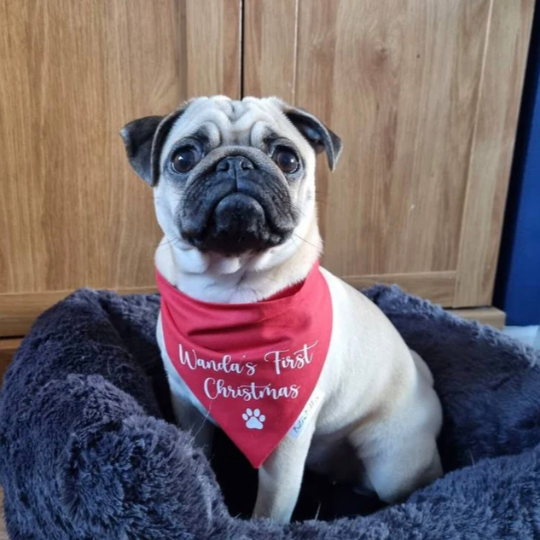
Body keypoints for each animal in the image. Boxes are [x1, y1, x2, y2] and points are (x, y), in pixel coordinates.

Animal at [121, 96, 442, 524]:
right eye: (184, 158)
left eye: (287, 159)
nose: (236, 163)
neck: (231, 289)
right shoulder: (188, 406)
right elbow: (199, 454)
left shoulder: (286, 445)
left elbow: (270, 510)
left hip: (395, 465)